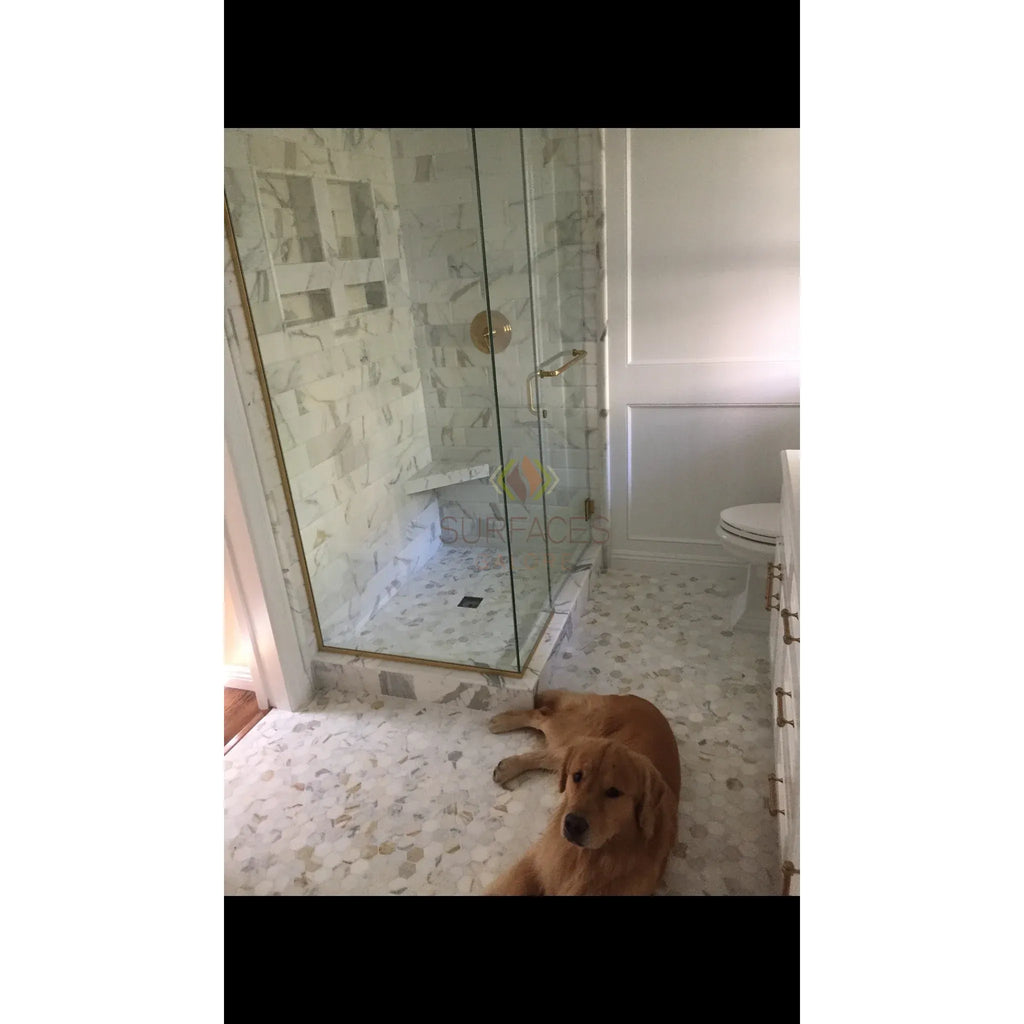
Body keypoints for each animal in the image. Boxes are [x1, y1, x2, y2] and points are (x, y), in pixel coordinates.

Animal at [481, 688, 675, 897]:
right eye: (577, 776)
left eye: (614, 791)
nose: (573, 824)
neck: (591, 857)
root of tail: (634, 698)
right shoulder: (536, 860)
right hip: (574, 736)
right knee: (542, 714)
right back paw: (502, 722)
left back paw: (506, 765)